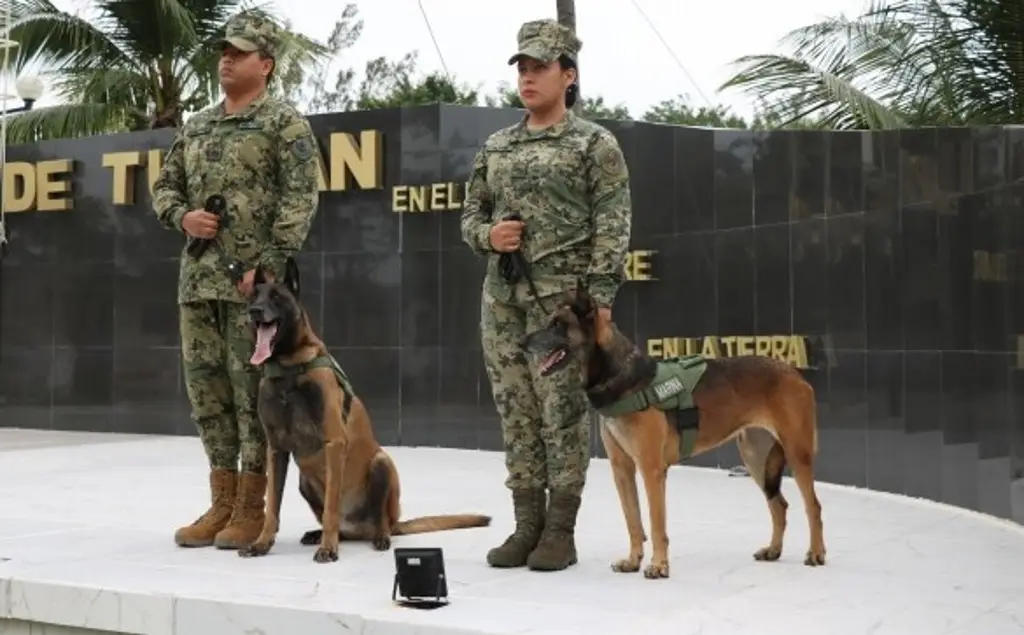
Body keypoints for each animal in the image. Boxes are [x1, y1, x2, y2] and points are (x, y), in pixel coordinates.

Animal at [241, 258, 493, 565]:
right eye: (254, 297)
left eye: (277, 297)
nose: (254, 311)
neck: (289, 367)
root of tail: (359, 528)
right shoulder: (276, 450)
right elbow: (272, 507)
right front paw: (262, 543)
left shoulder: (334, 443)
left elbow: (331, 507)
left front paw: (328, 548)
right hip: (305, 481)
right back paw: (321, 534)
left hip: (381, 464)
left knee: (379, 520)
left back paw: (377, 537)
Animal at [524, 286, 827, 581]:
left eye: (558, 325)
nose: (523, 343)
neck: (621, 376)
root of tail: (794, 373)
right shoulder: (622, 470)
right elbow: (633, 521)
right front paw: (633, 561)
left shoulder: (651, 470)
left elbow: (656, 524)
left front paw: (659, 566)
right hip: (756, 459)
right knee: (779, 506)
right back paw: (774, 550)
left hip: (796, 453)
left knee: (813, 506)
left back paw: (816, 553)